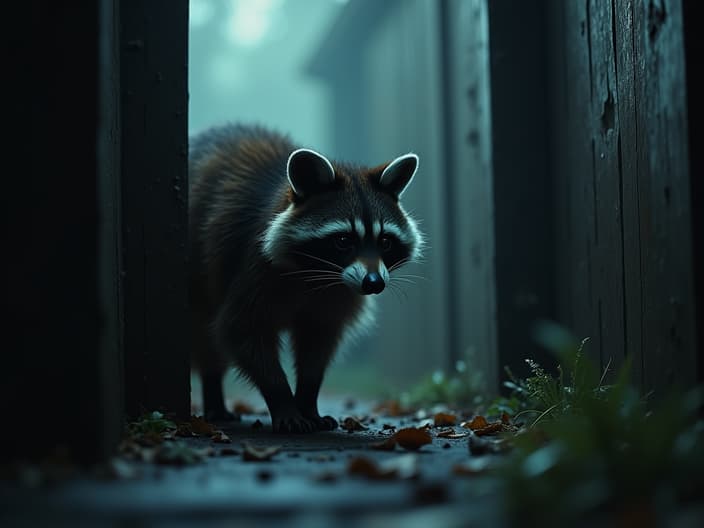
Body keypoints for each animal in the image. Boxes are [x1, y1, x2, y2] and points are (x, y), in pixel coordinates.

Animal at [187, 125, 424, 434]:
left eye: (385, 241)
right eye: (343, 241)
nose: (374, 283)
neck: (316, 274)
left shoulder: (338, 296)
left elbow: (318, 342)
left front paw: (308, 401)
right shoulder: (251, 270)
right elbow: (242, 330)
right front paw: (282, 400)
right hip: (200, 284)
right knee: (206, 339)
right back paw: (214, 391)